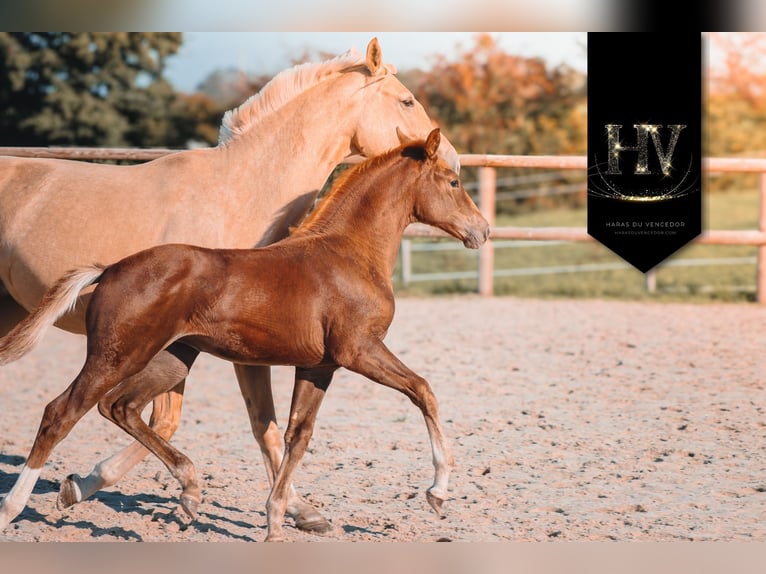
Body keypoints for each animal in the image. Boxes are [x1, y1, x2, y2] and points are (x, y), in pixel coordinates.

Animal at [0, 37, 459, 534]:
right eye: (407, 100)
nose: (452, 158)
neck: (239, 191)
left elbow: (258, 425)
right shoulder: (234, 347)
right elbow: (241, 426)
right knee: (67, 409)